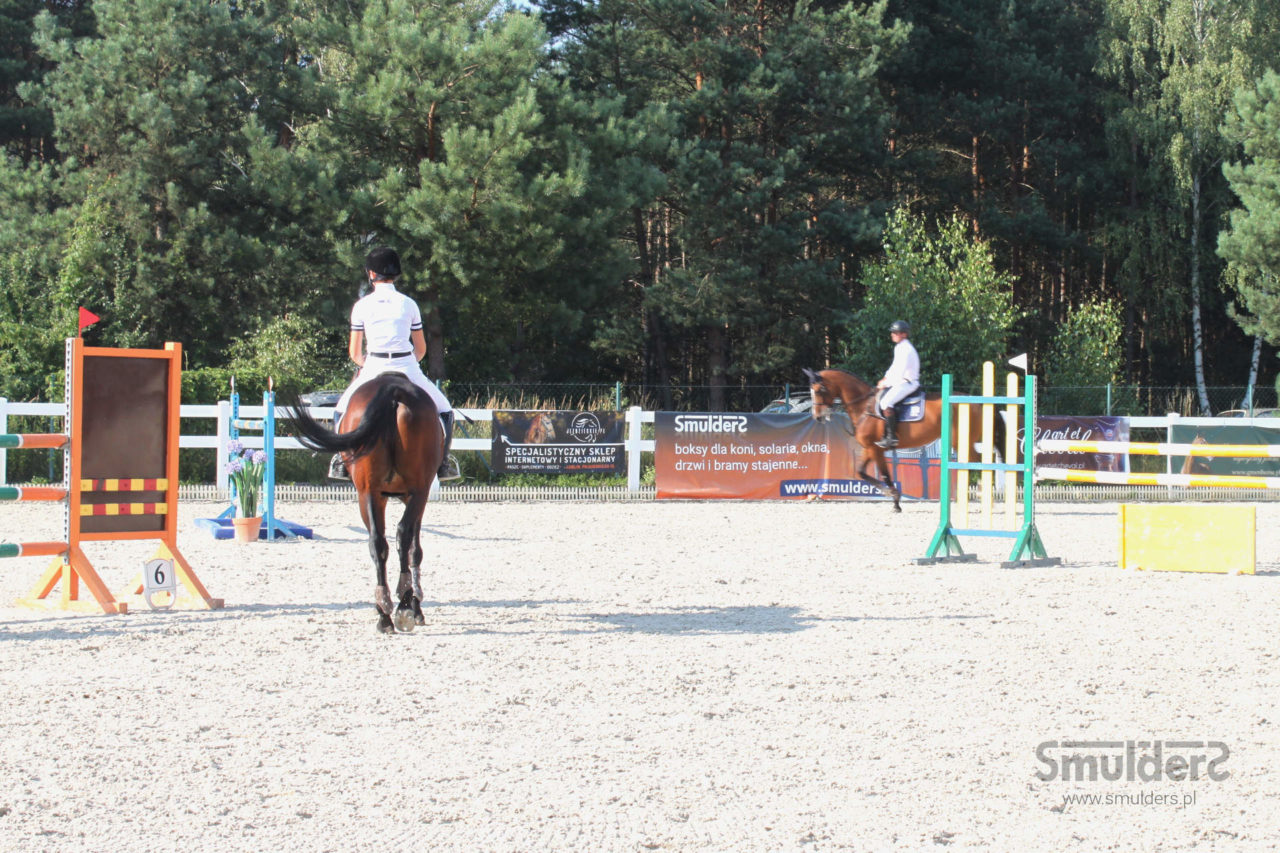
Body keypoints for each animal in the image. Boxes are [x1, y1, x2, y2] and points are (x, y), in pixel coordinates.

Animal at [285, 371, 445, 630]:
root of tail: (393, 389)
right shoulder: (408, 496)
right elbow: (414, 550)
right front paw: (416, 607)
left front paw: (413, 605)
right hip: (404, 492)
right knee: (395, 536)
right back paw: (398, 606)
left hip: (373, 493)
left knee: (383, 540)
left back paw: (390, 610)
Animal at [803, 366, 1003, 512]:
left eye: (819, 390)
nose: (817, 417)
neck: (864, 406)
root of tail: (976, 401)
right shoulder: (870, 448)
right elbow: (862, 472)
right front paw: (893, 498)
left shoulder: (876, 449)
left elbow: (884, 475)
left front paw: (894, 498)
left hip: (962, 441)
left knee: (978, 463)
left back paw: (983, 498)